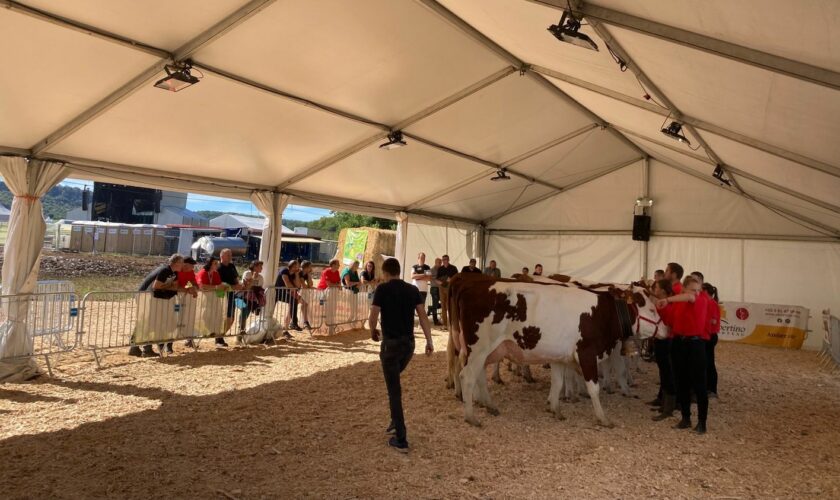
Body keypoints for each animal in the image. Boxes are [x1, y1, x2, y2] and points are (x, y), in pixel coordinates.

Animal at [450, 274, 660, 426]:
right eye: (652, 309)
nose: (664, 328)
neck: (600, 312)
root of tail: (470, 285)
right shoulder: (587, 353)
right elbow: (595, 387)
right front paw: (603, 417)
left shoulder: (559, 356)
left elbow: (558, 383)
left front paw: (555, 409)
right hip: (478, 348)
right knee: (467, 376)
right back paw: (471, 417)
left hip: (484, 351)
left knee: (478, 375)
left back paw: (489, 405)